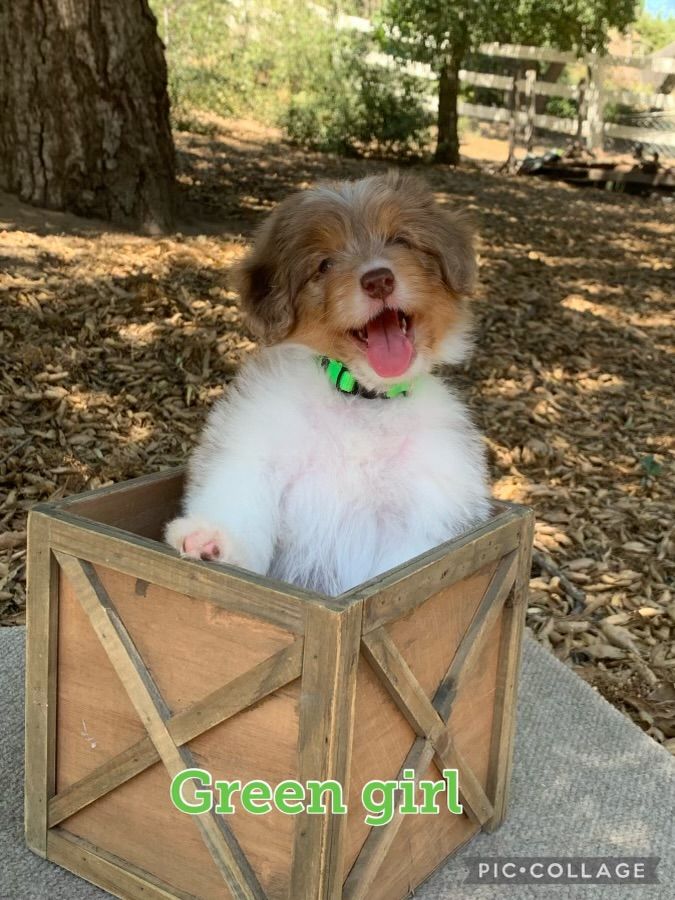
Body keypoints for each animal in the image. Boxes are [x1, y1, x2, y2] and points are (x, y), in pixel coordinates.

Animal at [165, 172, 491, 595]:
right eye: (324, 265)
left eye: (401, 241)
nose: (378, 280)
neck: (363, 400)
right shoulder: (256, 450)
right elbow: (239, 499)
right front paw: (212, 541)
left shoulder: (425, 510)